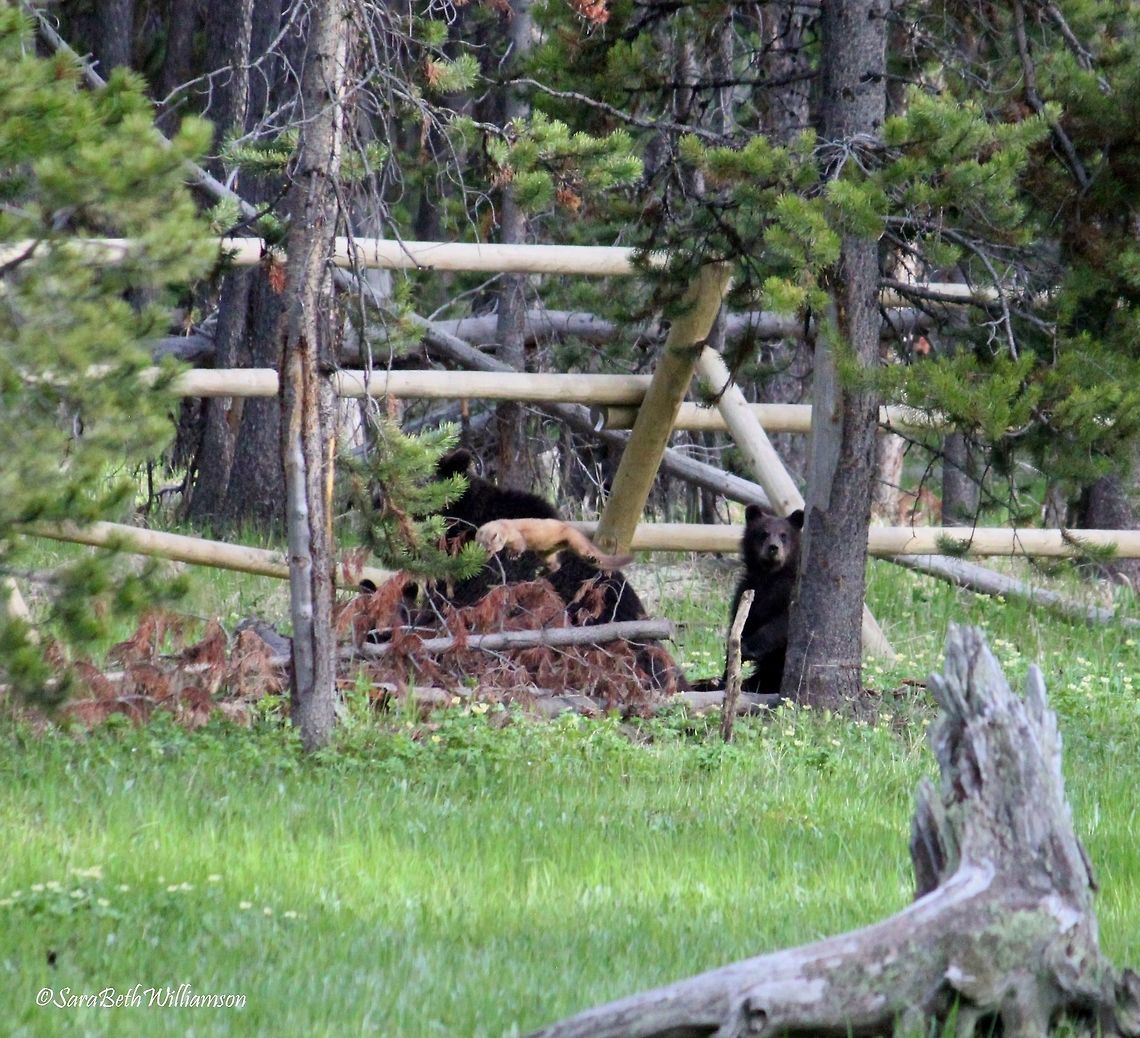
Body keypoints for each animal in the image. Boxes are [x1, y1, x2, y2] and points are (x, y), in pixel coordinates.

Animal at [725, 504, 804, 694]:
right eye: (763, 533)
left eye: (784, 534)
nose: (773, 548)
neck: (769, 576)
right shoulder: (748, 591)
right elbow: (740, 624)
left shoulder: (788, 593)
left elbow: (782, 623)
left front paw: (748, 647)